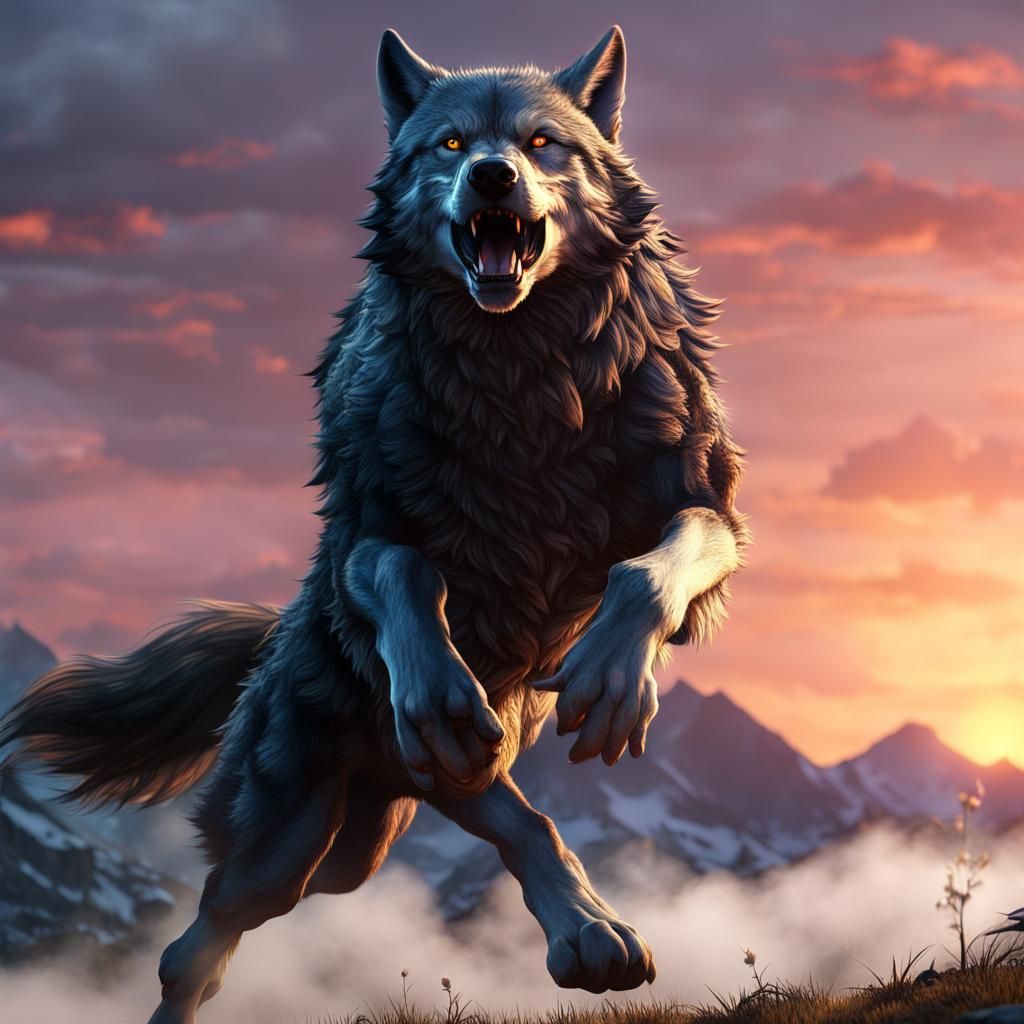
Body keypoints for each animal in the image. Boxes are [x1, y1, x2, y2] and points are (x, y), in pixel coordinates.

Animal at [0, 26, 747, 1023]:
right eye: (450, 145)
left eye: (542, 144)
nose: (493, 178)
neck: (523, 382)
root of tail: (273, 642)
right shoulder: (365, 531)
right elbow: (406, 573)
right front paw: (433, 682)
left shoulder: (703, 502)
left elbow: (654, 566)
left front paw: (611, 674)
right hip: (294, 840)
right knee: (208, 932)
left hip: (363, 845)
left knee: (504, 813)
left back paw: (588, 929)